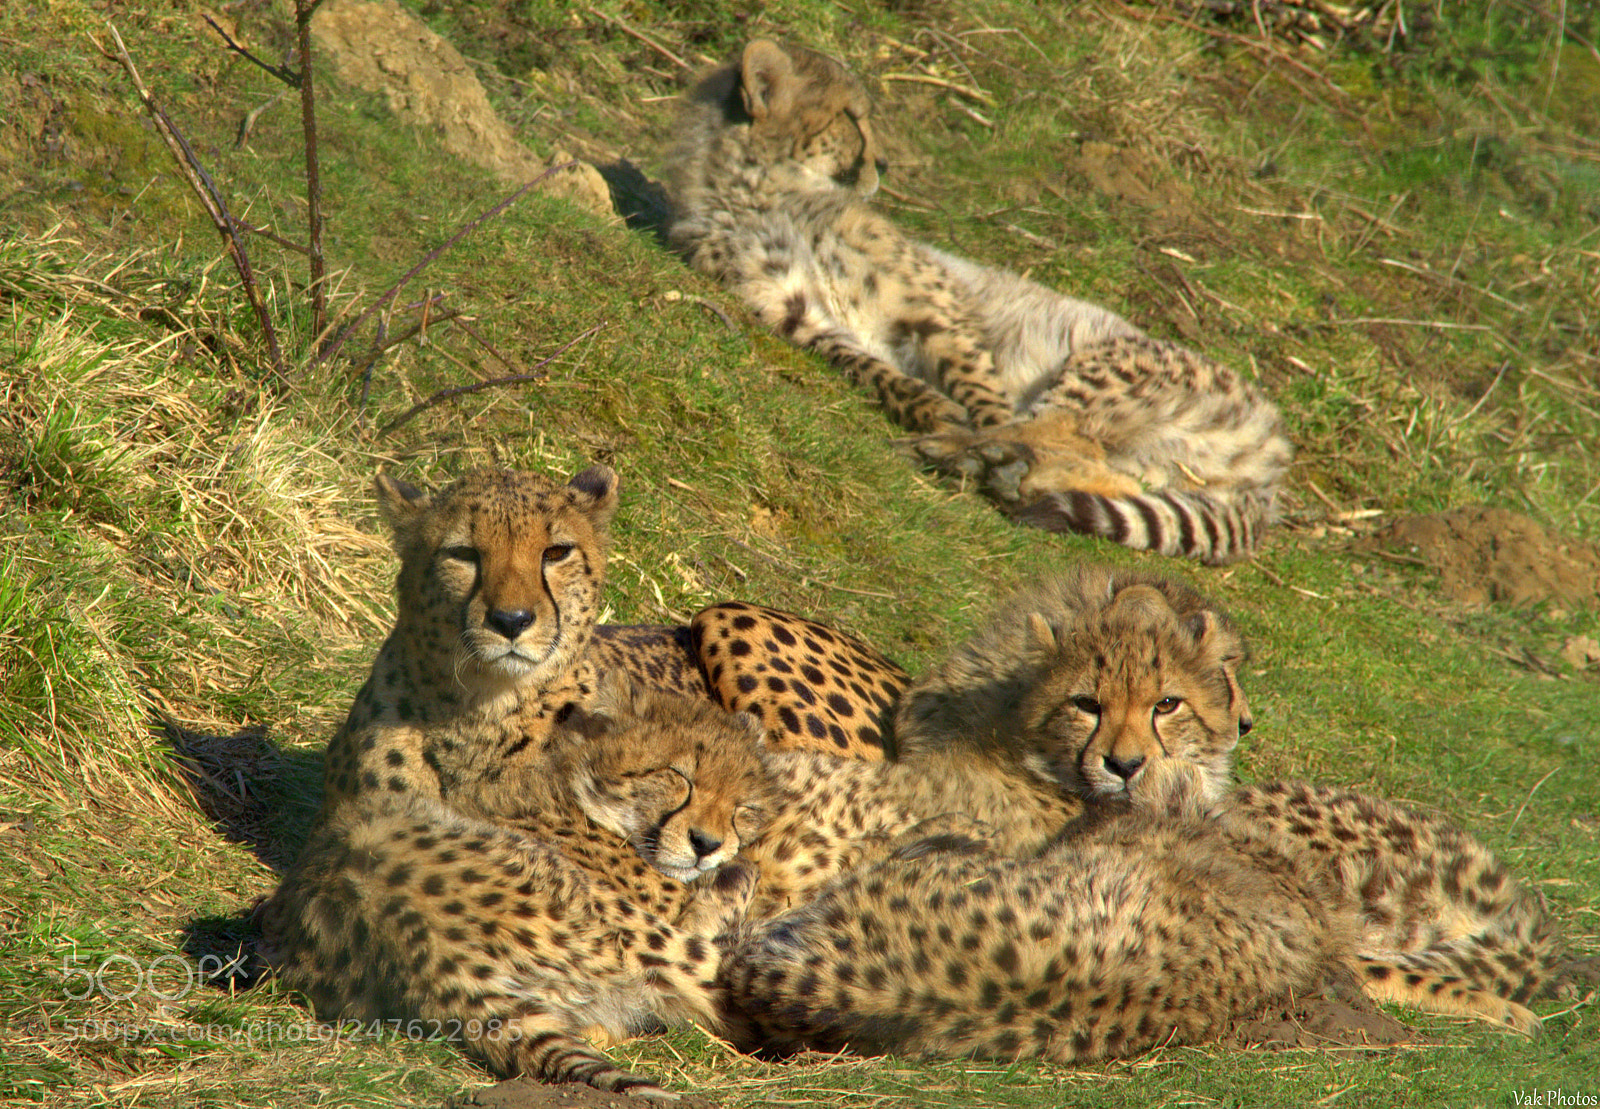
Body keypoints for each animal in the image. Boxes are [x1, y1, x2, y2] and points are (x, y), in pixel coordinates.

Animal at [261, 672, 781, 1098]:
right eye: (677, 777)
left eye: (743, 807)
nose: (708, 845)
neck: (581, 793)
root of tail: (416, 952)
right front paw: (735, 870)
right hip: (614, 922)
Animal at [662, 38, 1292, 564]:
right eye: (851, 118)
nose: (883, 164)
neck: (761, 193)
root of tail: (1277, 449)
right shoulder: (796, 314)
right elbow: (865, 364)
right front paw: (924, 402)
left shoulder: (933, 309)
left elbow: (979, 389)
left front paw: (963, 419)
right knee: (1103, 469)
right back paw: (1001, 470)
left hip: (1103, 362)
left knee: (1053, 432)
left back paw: (970, 454)